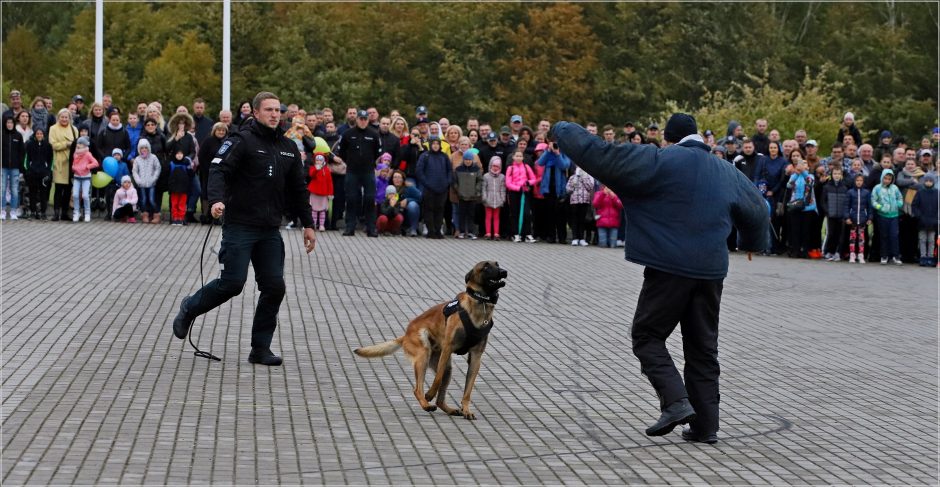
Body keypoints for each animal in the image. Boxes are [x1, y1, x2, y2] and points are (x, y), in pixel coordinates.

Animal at [356, 264, 510, 420]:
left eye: (497, 264)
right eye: (486, 267)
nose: (504, 271)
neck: (480, 303)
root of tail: (405, 335)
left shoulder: (476, 357)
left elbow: (468, 389)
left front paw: (466, 409)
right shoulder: (448, 348)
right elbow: (437, 378)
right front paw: (429, 394)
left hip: (446, 367)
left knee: (440, 399)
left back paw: (449, 409)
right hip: (424, 355)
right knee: (417, 389)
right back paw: (426, 404)